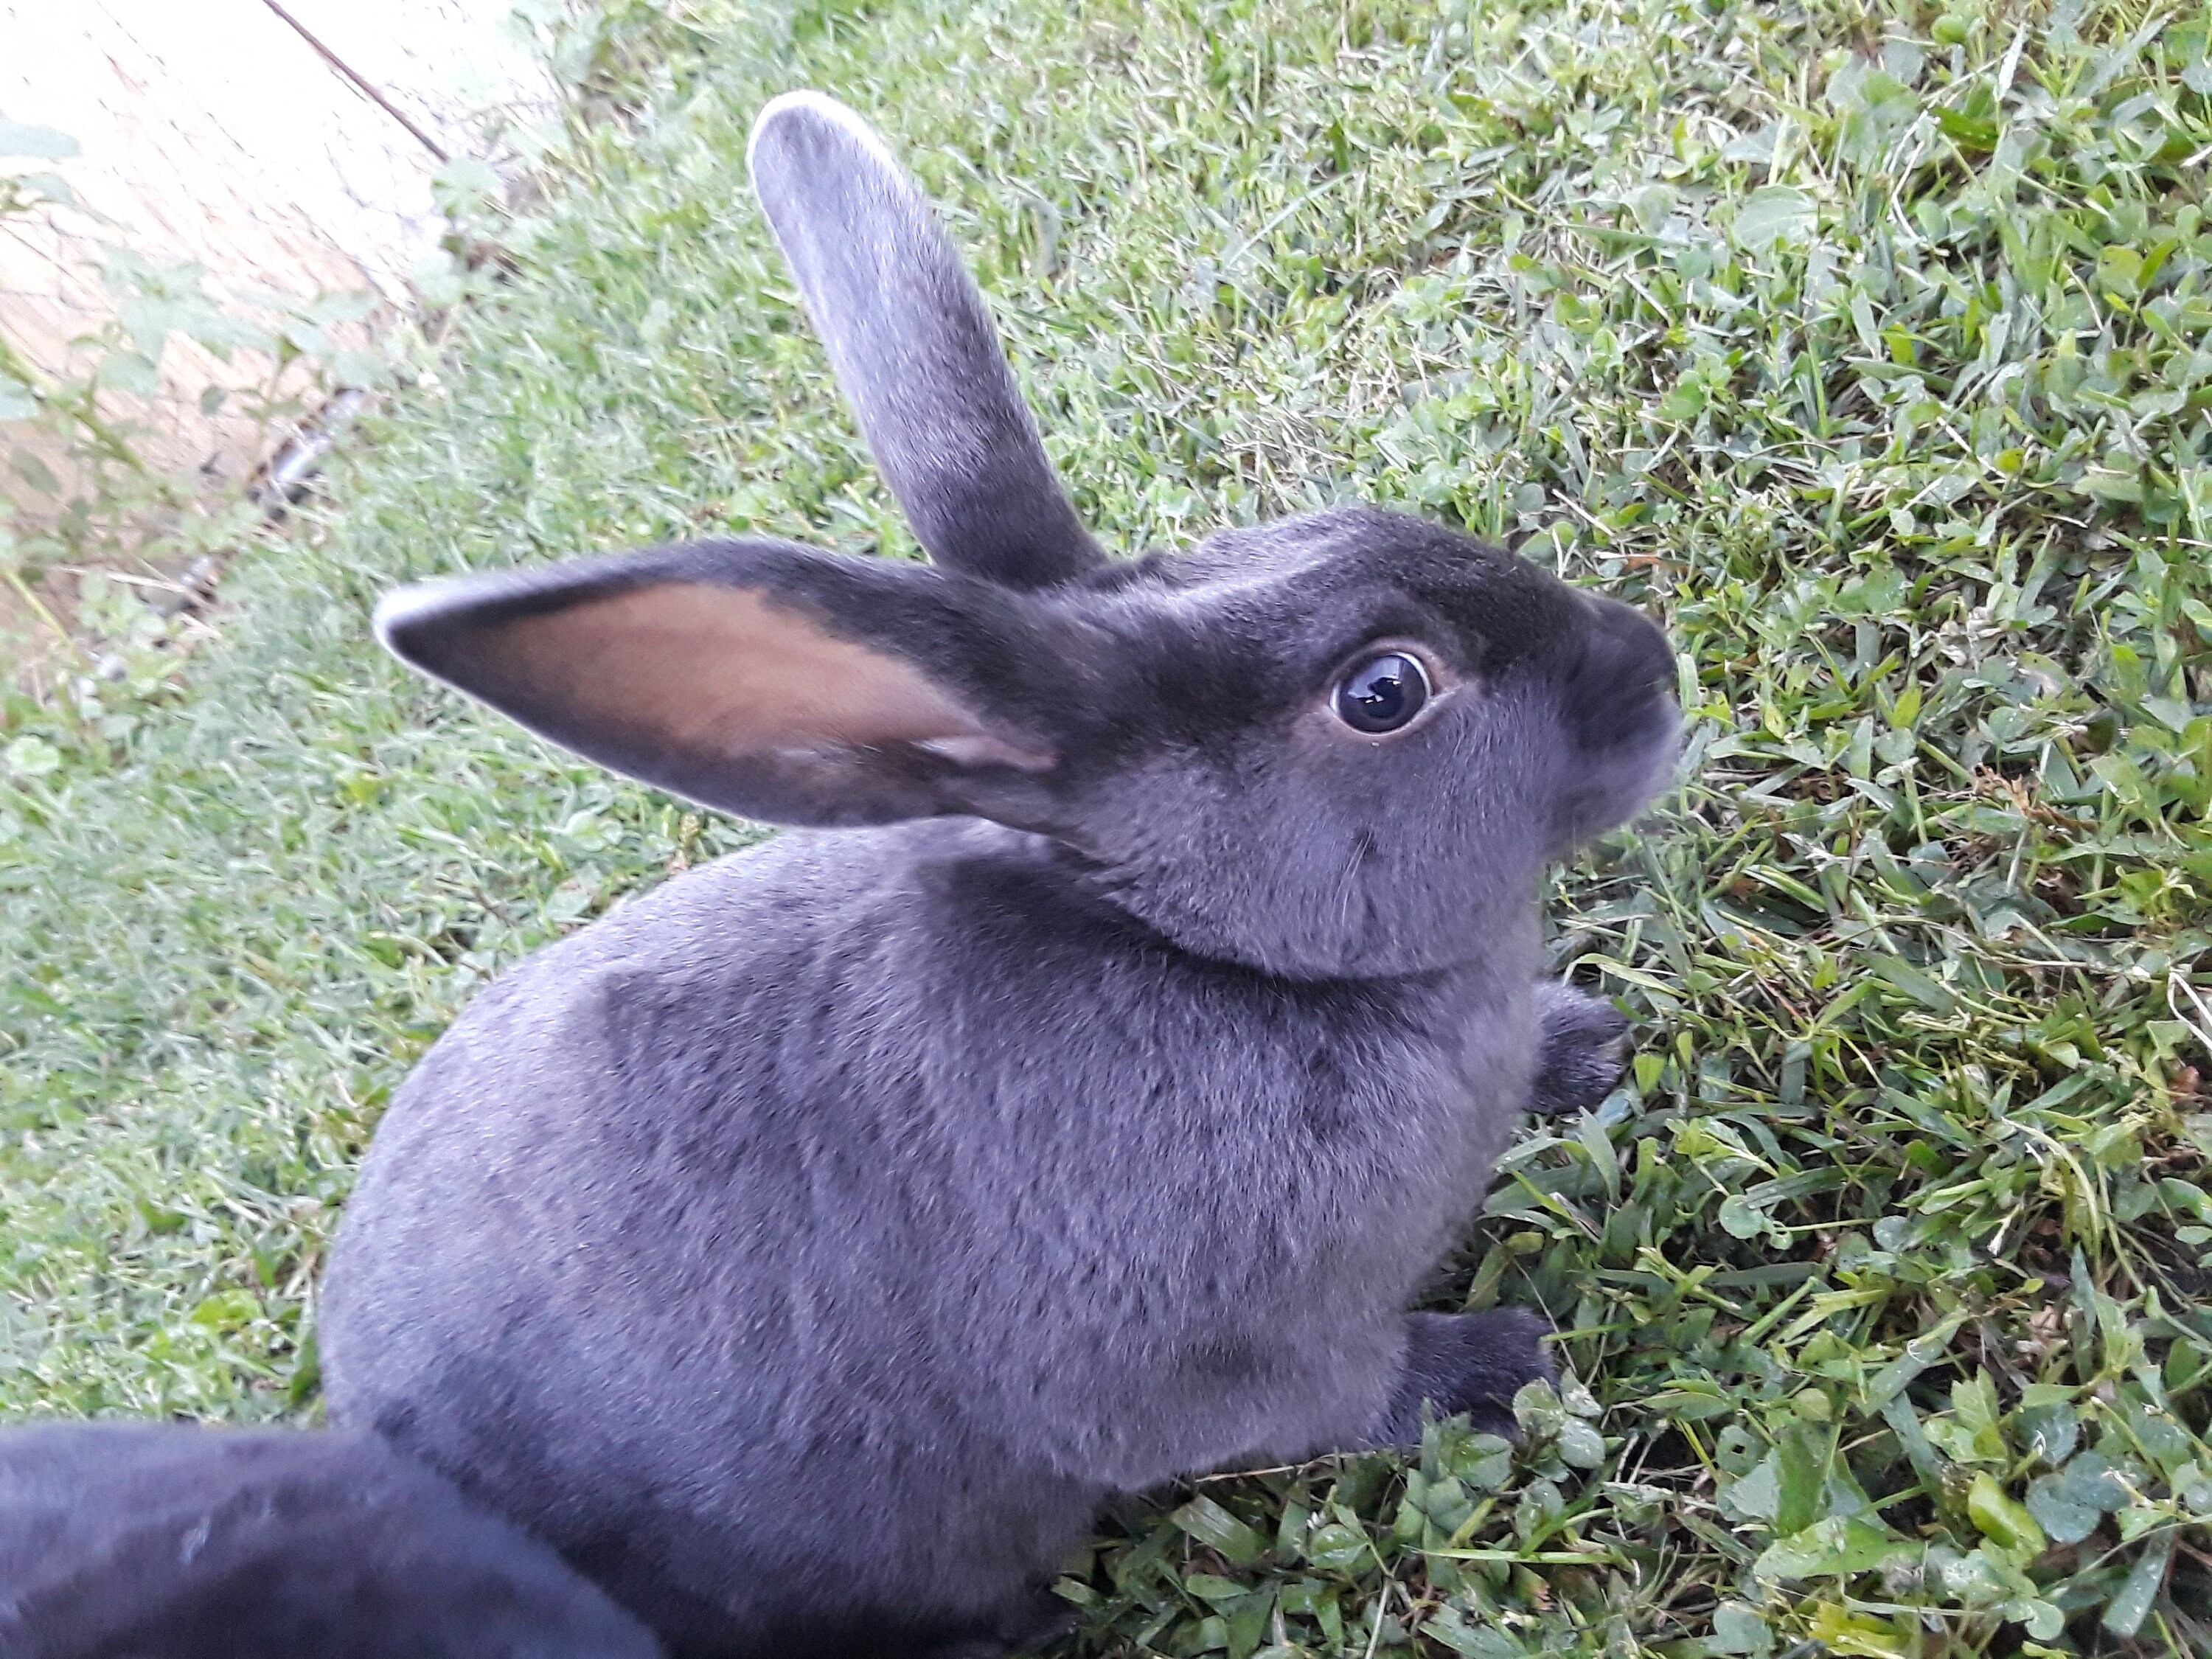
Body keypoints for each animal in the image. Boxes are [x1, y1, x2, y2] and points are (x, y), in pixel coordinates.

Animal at [317, 90, 1678, 1659]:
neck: (1199, 955)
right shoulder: (1211, 1367)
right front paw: (1505, 1365)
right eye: (1385, 692)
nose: (1652, 668)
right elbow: (1341, 1393)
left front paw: (1583, 1044)